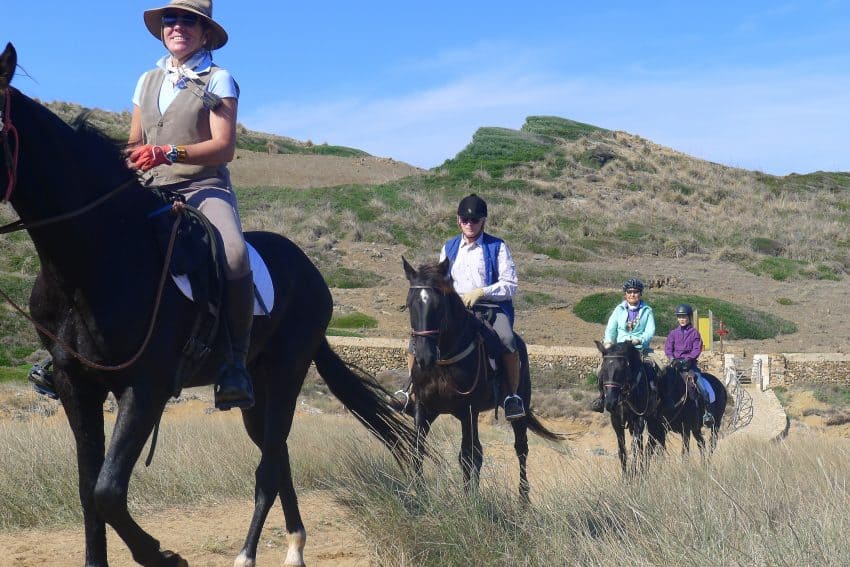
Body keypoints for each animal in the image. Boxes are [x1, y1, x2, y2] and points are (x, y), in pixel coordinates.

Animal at [0, 41, 414, 567]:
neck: (96, 256)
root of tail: (314, 276)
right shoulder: (77, 387)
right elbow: (87, 493)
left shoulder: (146, 388)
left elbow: (107, 492)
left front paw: (162, 555)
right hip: (257, 395)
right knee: (277, 457)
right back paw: (294, 545)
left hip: (285, 376)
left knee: (267, 469)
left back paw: (249, 554)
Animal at [400, 258, 560, 502]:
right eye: (410, 304)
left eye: (439, 305)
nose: (424, 357)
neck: (443, 363)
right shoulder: (424, 407)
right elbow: (418, 448)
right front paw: (419, 493)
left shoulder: (467, 411)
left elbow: (467, 455)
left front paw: (469, 502)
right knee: (480, 451)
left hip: (516, 410)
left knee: (520, 449)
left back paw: (523, 499)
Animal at [592, 342, 664, 480]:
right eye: (603, 370)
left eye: (621, 370)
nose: (610, 402)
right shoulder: (616, 421)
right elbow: (622, 450)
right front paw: (626, 478)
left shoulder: (639, 419)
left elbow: (634, 448)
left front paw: (633, 474)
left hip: (654, 421)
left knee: (651, 445)